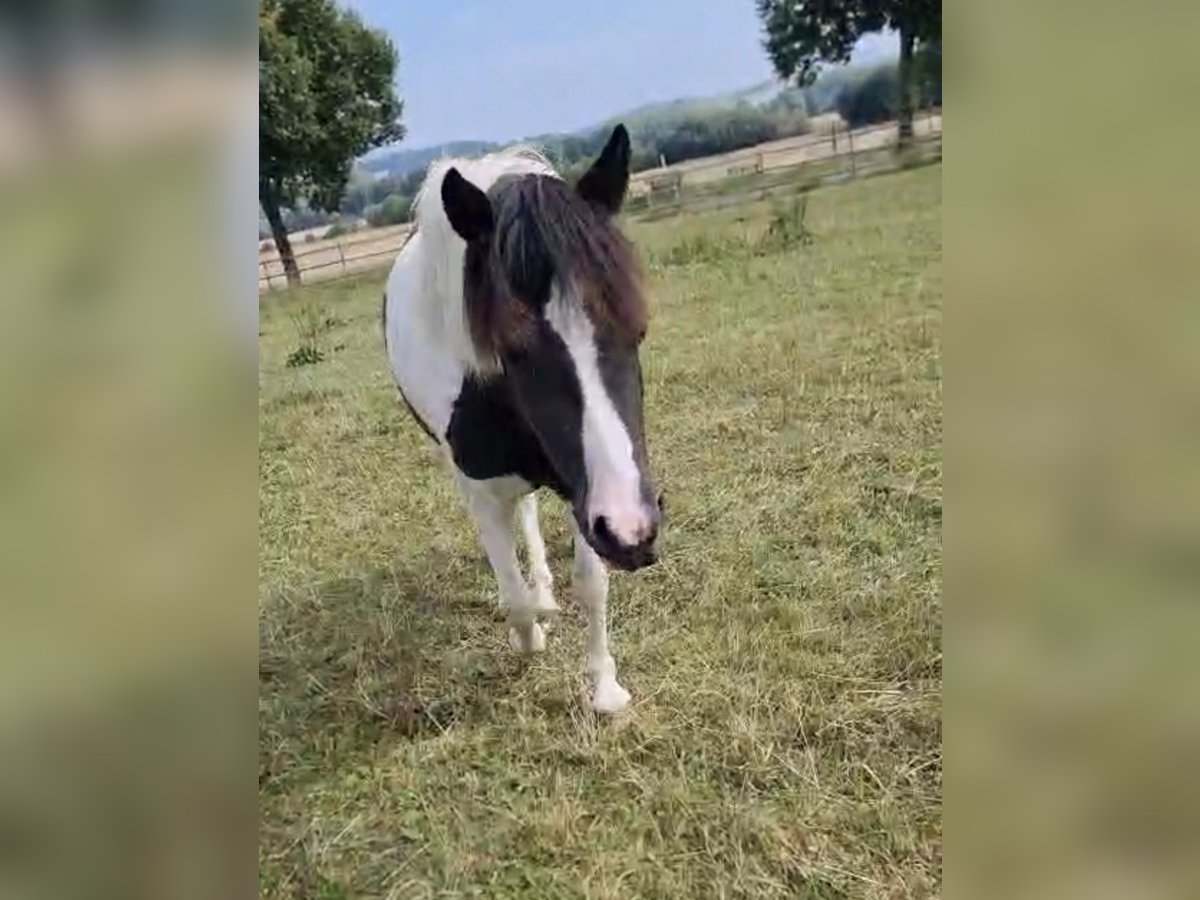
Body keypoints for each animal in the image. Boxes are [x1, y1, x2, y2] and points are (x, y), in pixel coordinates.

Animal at [384, 128, 662, 720]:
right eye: (513, 349)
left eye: (637, 328)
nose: (634, 534)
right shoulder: (485, 489)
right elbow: (511, 596)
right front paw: (528, 638)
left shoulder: (584, 486)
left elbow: (591, 583)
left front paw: (605, 688)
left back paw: (546, 589)